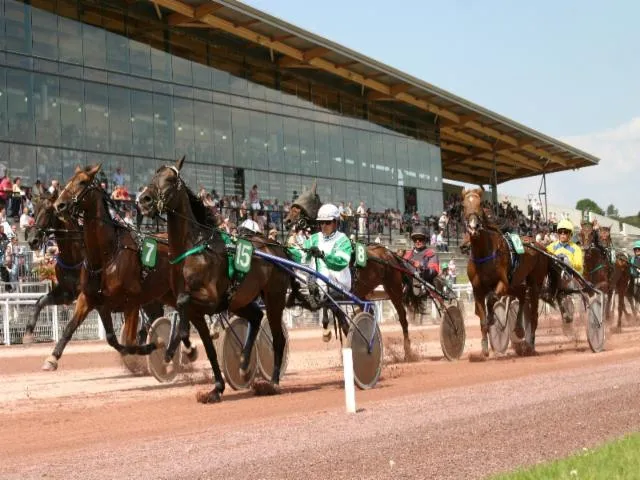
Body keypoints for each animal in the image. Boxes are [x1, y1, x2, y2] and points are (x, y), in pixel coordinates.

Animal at [51, 165, 196, 372]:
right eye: (68, 181)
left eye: (82, 182)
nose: (59, 205)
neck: (105, 257)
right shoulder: (91, 299)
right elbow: (79, 329)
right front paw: (52, 358)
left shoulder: (132, 302)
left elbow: (128, 341)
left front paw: (153, 345)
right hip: (166, 294)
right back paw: (177, 351)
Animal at [139, 157, 290, 402]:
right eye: (153, 176)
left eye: (170, 179)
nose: (144, 200)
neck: (192, 248)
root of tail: (277, 247)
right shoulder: (197, 312)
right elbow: (208, 348)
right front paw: (216, 388)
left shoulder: (210, 299)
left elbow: (182, 303)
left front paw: (185, 349)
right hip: (239, 300)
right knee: (256, 317)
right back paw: (243, 363)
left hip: (274, 298)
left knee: (278, 338)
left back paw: (273, 382)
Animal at [284, 182, 416, 358]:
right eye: (293, 205)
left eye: (299, 209)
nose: (286, 221)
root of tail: (391, 254)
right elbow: (341, 320)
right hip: (364, 292)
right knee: (369, 312)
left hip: (393, 289)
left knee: (402, 318)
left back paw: (408, 352)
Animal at [462, 188, 548, 356]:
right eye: (464, 205)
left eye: (479, 204)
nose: (473, 227)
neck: (484, 254)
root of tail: (540, 245)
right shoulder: (477, 289)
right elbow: (482, 319)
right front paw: (484, 350)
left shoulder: (502, 282)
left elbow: (491, 298)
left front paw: (492, 318)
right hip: (515, 283)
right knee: (521, 295)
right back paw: (519, 329)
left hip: (534, 283)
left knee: (533, 314)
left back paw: (531, 345)